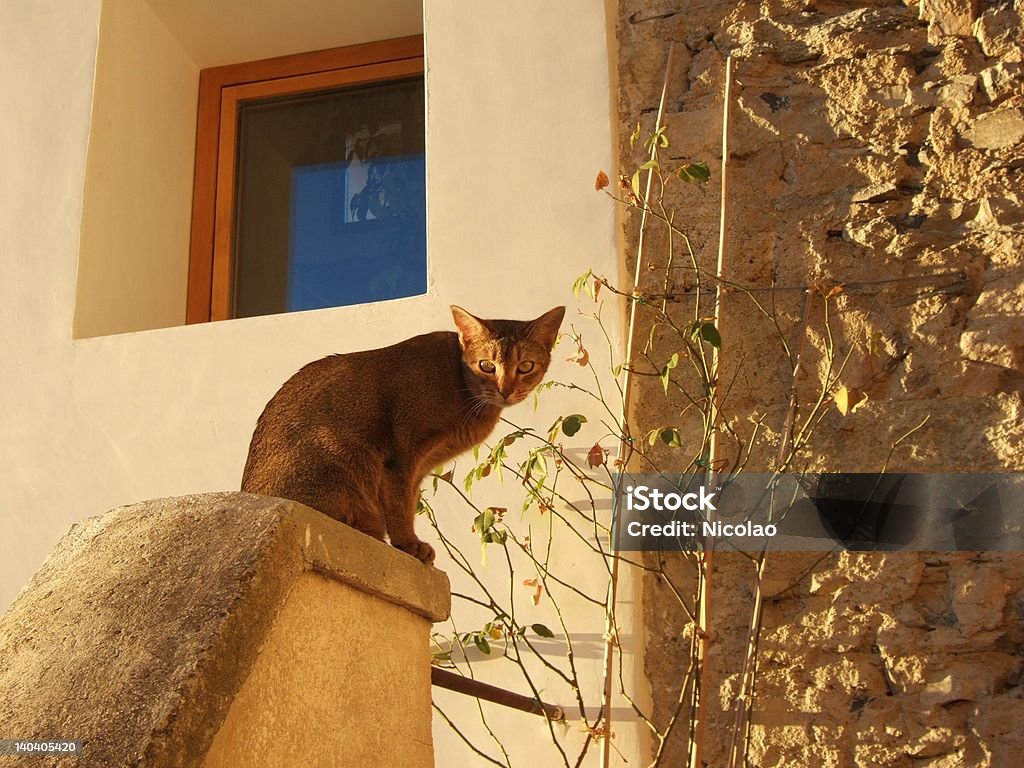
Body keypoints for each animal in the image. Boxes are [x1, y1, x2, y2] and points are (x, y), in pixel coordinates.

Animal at [240, 307, 565, 565]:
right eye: (487, 365)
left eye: (525, 367)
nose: (505, 390)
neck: (461, 383)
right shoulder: (401, 456)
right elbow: (399, 506)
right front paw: (408, 545)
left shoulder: (419, 468)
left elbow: (408, 502)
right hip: (336, 455)